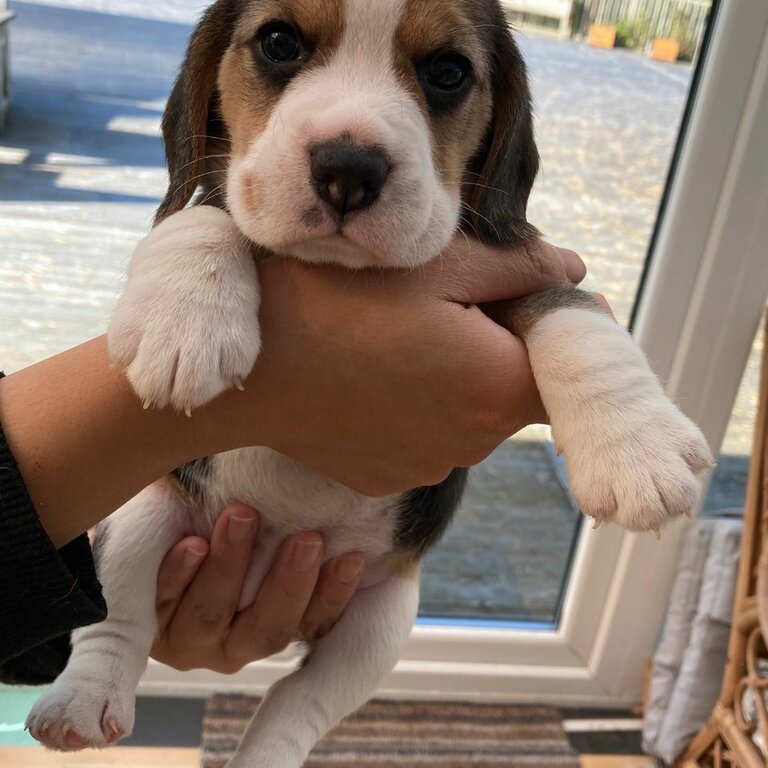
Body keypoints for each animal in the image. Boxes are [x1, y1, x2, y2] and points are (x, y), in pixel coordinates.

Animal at [28, 3, 712, 764]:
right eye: (279, 42)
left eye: (448, 72)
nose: (348, 169)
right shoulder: (214, 196)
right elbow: (201, 211)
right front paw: (184, 319)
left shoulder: (521, 269)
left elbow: (570, 312)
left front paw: (637, 448)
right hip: (145, 513)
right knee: (116, 622)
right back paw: (82, 700)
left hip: (382, 616)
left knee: (295, 701)